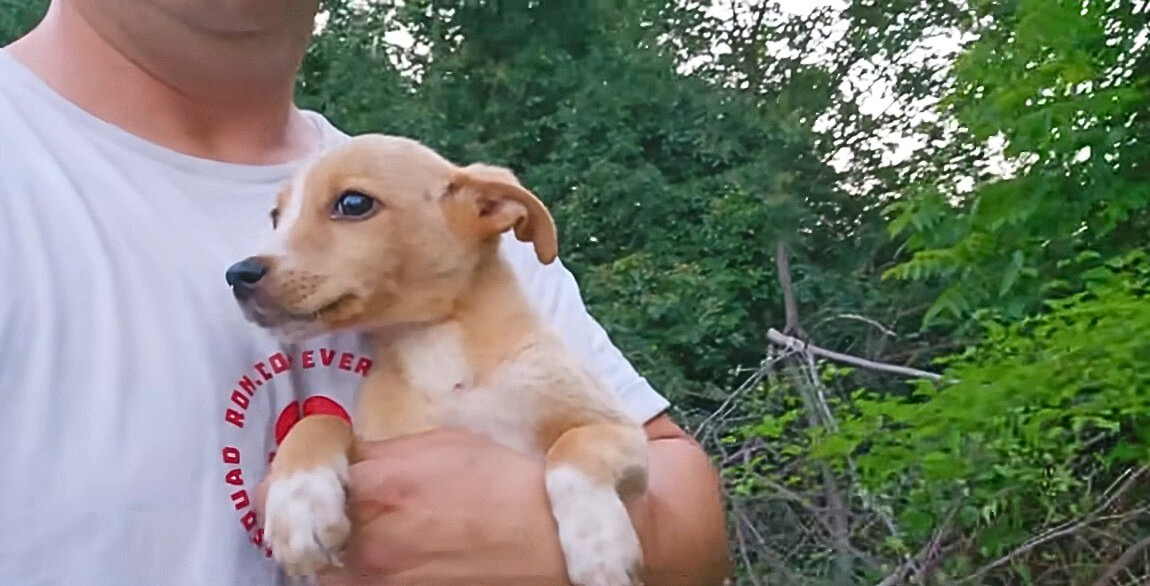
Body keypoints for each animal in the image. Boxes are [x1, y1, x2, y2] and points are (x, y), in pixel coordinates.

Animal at [226, 133, 648, 586]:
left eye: (354, 203)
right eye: (276, 216)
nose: (238, 275)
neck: (435, 349)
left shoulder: (621, 432)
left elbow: (572, 449)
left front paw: (598, 546)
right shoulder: (382, 444)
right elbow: (318, 421)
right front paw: (300, 501)